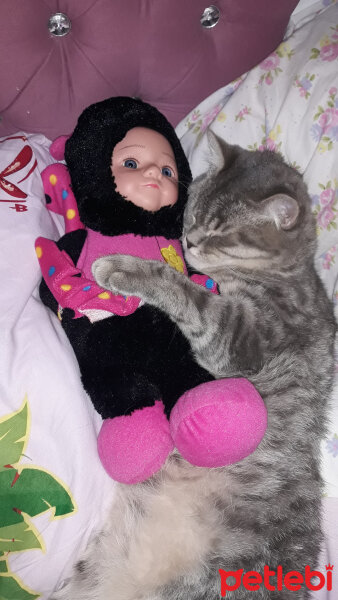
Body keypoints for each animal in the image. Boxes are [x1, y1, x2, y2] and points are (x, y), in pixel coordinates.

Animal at [54, 134, 334, 596]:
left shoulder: (240, 338)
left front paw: (123, 266)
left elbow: (184, 291)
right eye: (194, 211)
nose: (188, 240)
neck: (287, 272)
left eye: (220, 233)